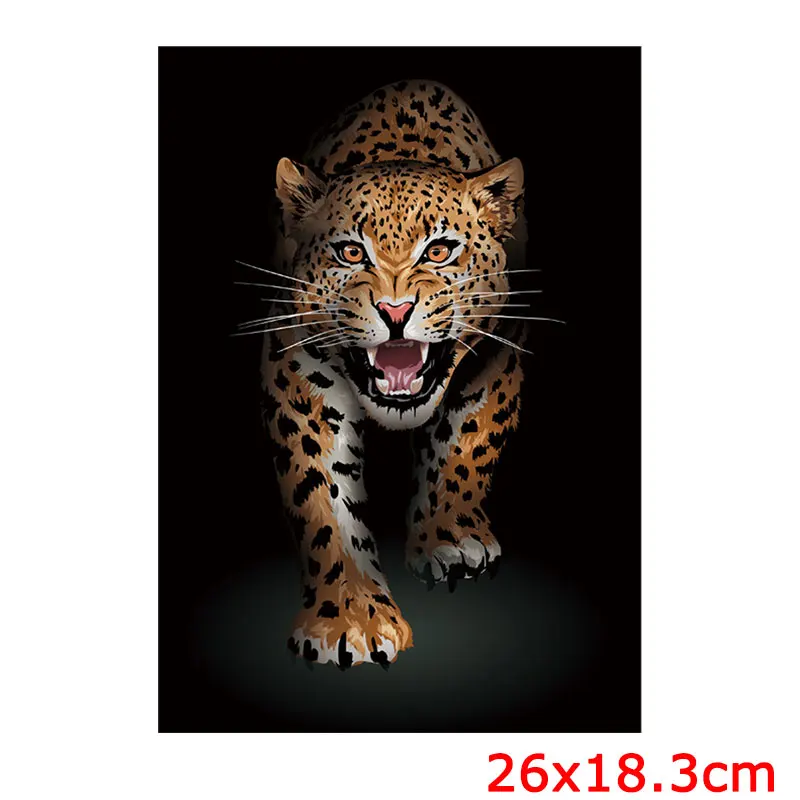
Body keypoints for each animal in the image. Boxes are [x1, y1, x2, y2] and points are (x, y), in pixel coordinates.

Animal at [257, 79, 532, 668]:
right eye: (350, 252)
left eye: (441, 250)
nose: (396, 309)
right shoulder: (299, 371)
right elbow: (324, 502)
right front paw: (350, 617)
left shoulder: (498, 353)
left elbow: (467, 445)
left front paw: (451, 540)